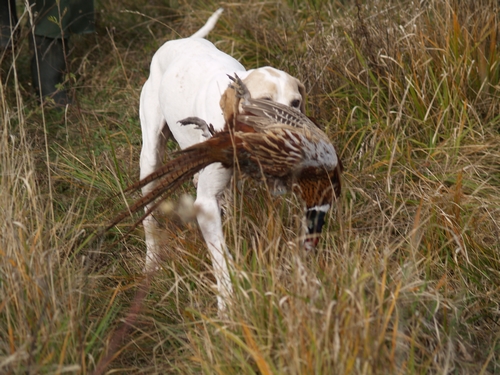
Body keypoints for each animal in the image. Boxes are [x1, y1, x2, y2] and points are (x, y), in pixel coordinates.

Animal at [139, 9, 306, 314]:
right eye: (263, 102)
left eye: (296, 102)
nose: (291, 135)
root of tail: (178, 41)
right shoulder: (205, 205)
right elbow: (221, 260)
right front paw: (228, 304)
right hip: (150, 160)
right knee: (149, 216)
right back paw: (151, 259)